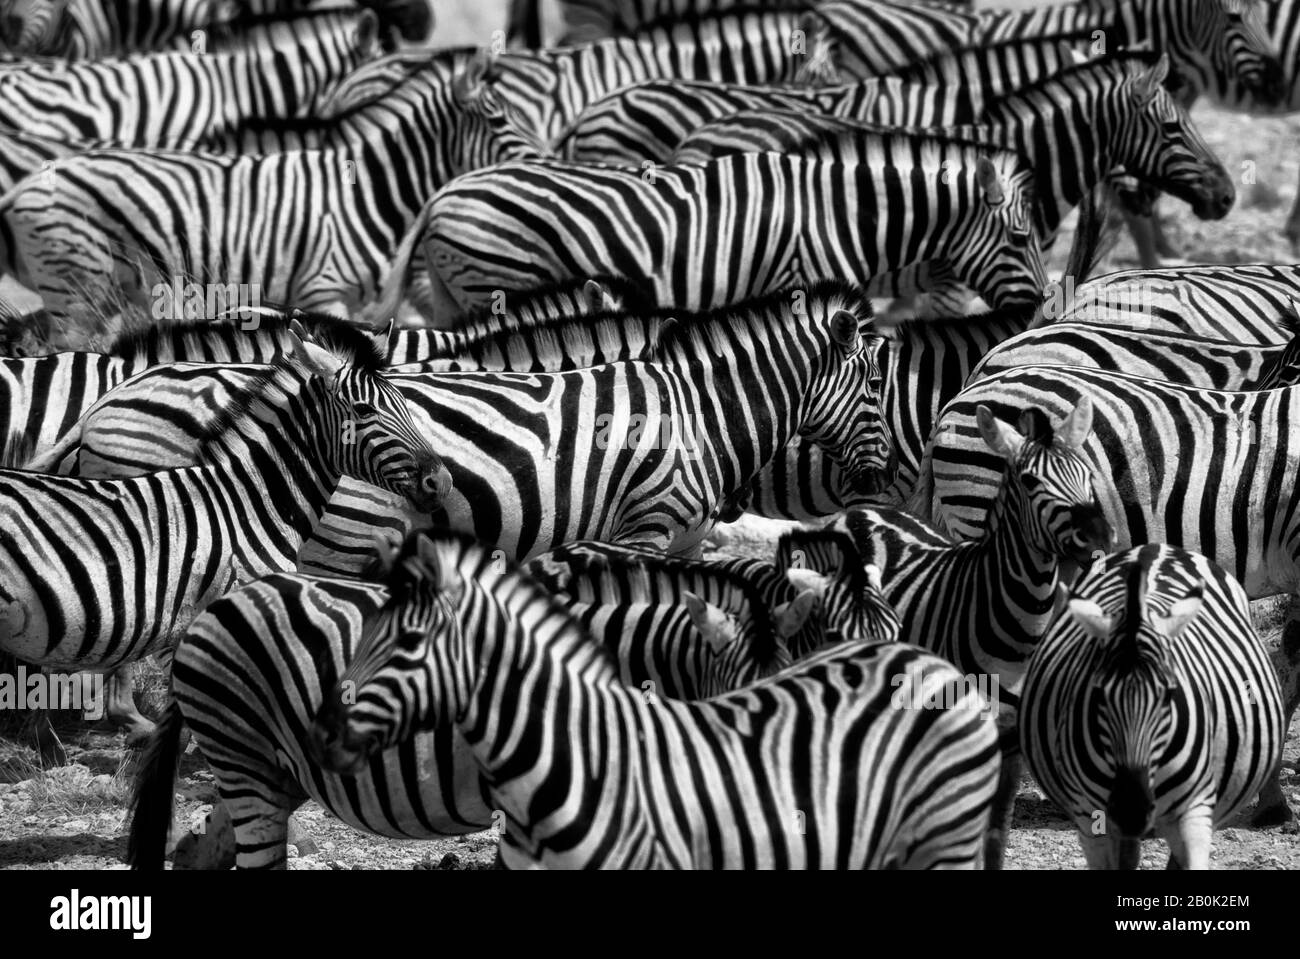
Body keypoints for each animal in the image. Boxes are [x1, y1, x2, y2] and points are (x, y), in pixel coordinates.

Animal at [0, 53, 545, 327]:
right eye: (500, 120)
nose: (543, 163)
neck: (368, 192)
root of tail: (23, 185)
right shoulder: (323, 292)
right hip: (75, 288)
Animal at [383, 143, 1046, 321]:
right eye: (1020, 240)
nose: (1043, 307)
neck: (841, 215)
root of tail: (442, 193)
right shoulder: (801, 286)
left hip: (455, 293)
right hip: (500, 277)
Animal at [830, 400, 1112, 868]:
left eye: (1088, 475)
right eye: (1031, 482)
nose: (1099, 541)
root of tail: (858, 511)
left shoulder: (1012, 739)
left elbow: (997, 832)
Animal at [1021, 544, 1284, 868]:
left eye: (1169, 695)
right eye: (1098, 694)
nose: (1131, 809)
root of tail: (1155, 547)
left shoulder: (1195, 810)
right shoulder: (1090, 818)